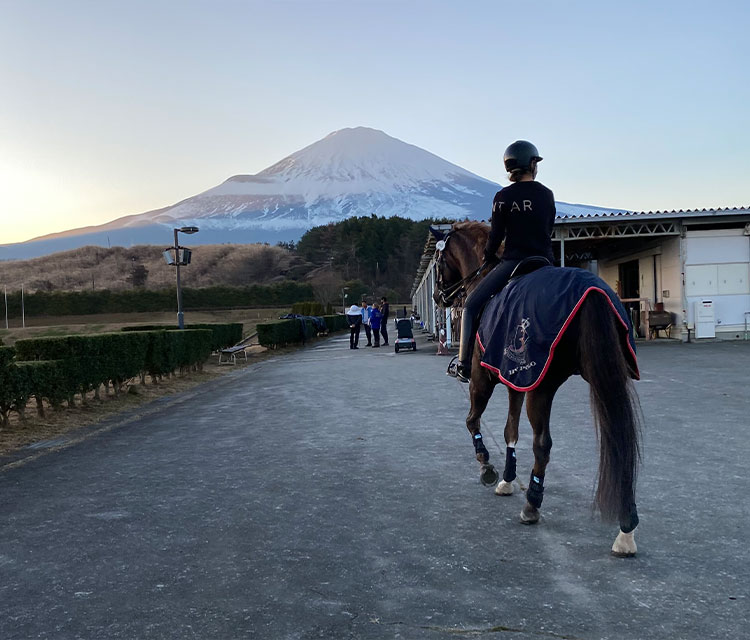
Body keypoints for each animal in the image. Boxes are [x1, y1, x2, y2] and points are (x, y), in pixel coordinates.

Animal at [434, 222, 648, 556]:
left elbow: (472, 421)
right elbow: (510, 431)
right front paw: (507, 479)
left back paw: (532, 505)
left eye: (439, 262)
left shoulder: (485, 379)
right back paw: (626, 528)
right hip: (600, 377)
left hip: (543, 386)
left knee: (542, 444)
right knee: (616, 435)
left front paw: (487, 467)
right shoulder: (517, 380)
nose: (437, 296)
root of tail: (594, 292)